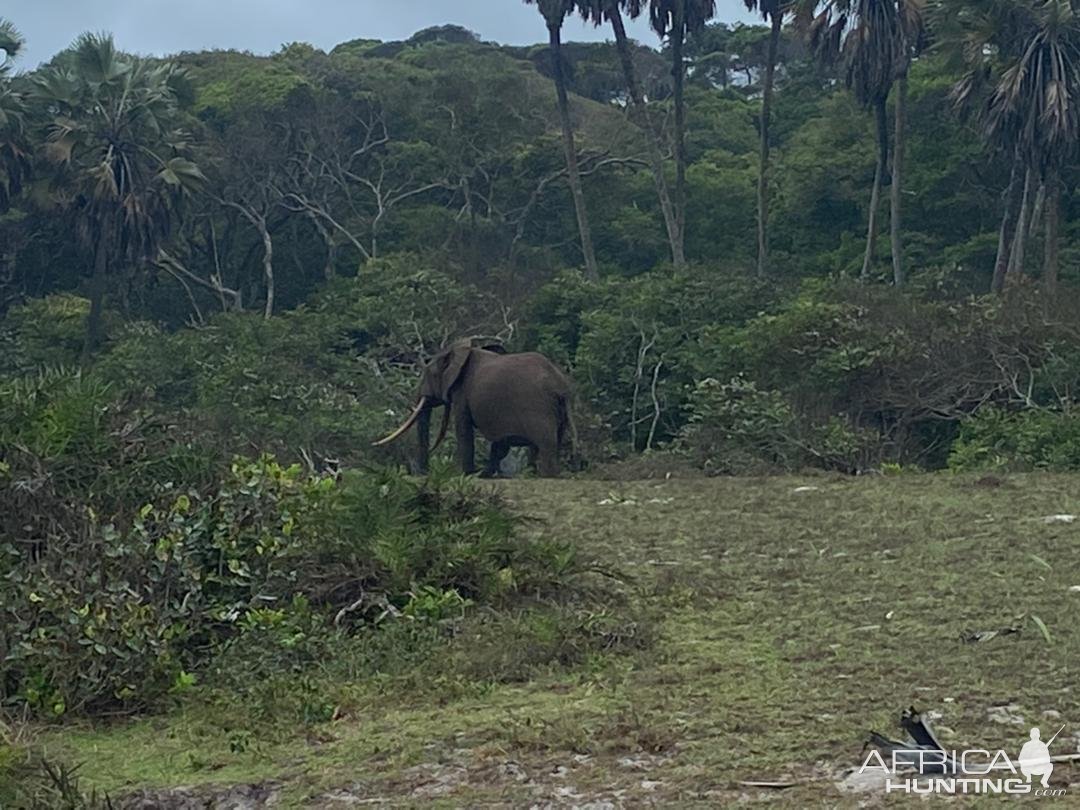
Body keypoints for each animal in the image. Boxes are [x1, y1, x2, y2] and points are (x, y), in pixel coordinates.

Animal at [371, 343, 574, 475]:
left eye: (429, 374)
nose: (423, 473)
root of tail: (560, 384)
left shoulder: (462, 391)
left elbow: (463, 429)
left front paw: (468, 474)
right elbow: (499, 444)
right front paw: (481, 474)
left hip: (539, 408)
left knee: (546, 444)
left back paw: (545, 476)